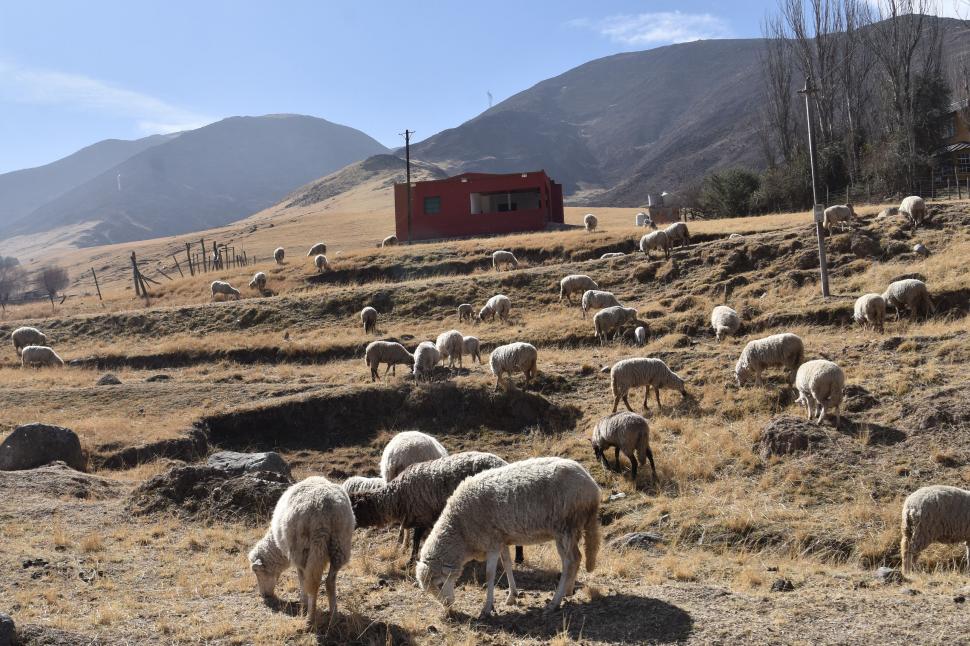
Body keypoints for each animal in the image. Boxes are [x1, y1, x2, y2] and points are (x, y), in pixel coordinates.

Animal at [248, 476, 354, 632]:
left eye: (257, 572)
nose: (264, 595)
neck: (278, 551)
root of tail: (324, 509)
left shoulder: (295, 556)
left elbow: (301, 579)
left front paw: (303, 602)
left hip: (303, 548)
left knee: (313, 583)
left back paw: (310, 619)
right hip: (339, 544)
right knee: (330, 581)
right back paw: (334, 617)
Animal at [414, 458, 596, 620]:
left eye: (439, 584)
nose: (448, 605)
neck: (460, 531)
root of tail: (592, 484)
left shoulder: (492, 544)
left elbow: (490, 574)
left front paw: (487, 608)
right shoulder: (502, 540)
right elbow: (508, 564)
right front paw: (512, 596)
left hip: (565, 527)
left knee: (570, 561)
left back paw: (554, 602)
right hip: (569, 531)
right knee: (575, 559)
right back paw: (568, 591)